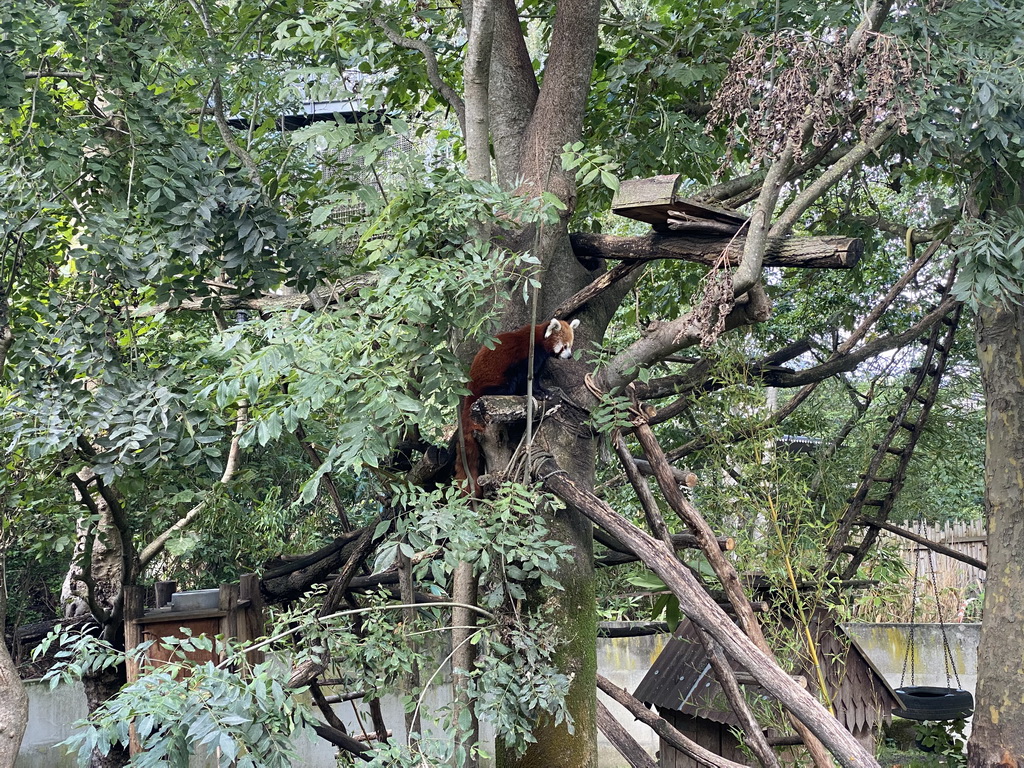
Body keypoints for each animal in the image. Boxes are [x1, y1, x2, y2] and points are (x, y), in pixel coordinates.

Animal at [454, 315, 581, 495]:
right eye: (564, 346)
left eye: (570, 345)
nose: (569, 356)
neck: (538, 341)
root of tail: (470, 398)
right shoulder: (525, 357)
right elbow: (526, 379)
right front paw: (537, 393)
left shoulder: (539, 362)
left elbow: (537, 377)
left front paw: (545, 391)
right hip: (494, 381)